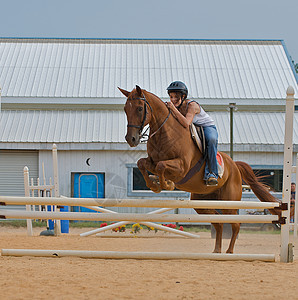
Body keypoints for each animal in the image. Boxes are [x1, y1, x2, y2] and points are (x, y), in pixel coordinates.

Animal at [118, 85, 280, 254]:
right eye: (125, 109)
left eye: (139, 108)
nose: (131, 139)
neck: (165, 134)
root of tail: (235, 166)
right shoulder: (152, 161)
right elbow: (142, 163)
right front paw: (155, 184)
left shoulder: (181, 167)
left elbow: (161, 165)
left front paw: (166, 184)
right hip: (202, 203)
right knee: (218, 223)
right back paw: (216, 251)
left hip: (228, 202)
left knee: (235, 224)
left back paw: (229, 252)